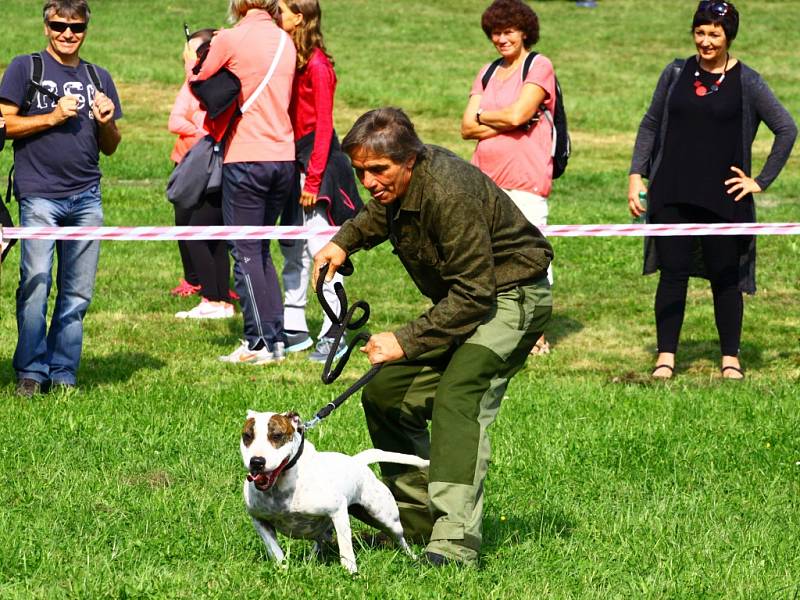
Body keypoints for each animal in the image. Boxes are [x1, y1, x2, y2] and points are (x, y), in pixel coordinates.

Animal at [242, 410, 432, 576]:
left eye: (277, 436)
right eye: (247, 436)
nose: (257, 461)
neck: (282, 485)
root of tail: (357, 461)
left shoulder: (338, 512)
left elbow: (345, 547)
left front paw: (351, 572)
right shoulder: (259, 520)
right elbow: (274, 550)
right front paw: (283, 568)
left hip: (386, 517)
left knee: (400, 539)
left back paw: (413, 557)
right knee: (321, 540)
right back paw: (310, 560)